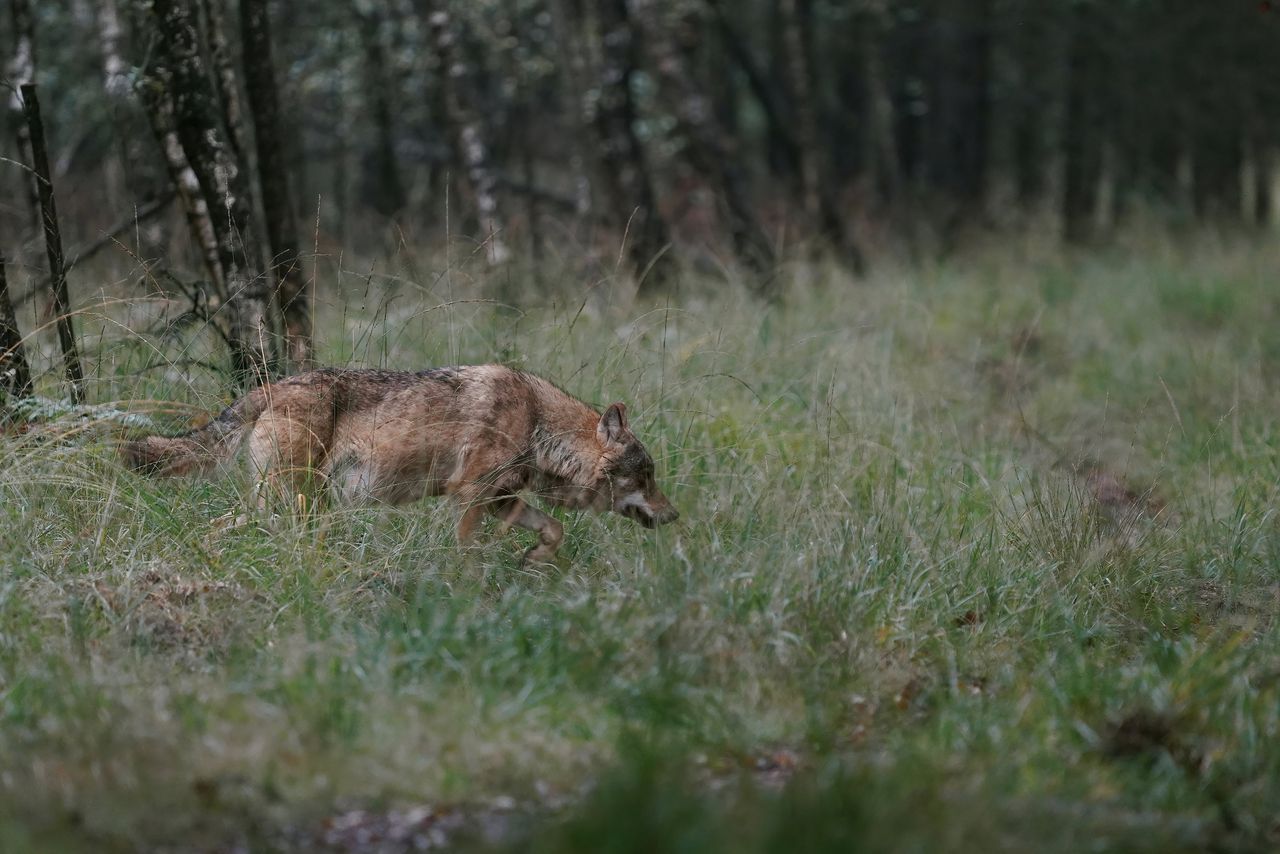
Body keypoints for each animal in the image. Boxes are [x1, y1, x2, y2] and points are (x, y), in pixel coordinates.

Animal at [122, 366, 680, 560]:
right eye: (646, 476)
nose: (675, 516)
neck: (537, 424)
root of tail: (268, 387)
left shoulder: (501, 501)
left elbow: (555, 530)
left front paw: (535, 561)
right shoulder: (470, 499)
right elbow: (466, 554)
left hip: (288, 505)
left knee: (216, 527)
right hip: (292, 504)